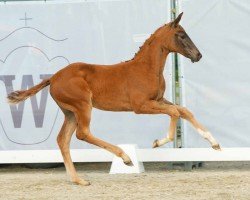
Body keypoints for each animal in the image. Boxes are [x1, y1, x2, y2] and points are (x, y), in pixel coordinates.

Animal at [7, 13, 221, 186]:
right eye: (181, 35)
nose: (198, 55)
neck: (146, 69)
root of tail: (53, 77)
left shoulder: (159, 100)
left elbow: (184, 111)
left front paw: (214, 143)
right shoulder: (141, 106)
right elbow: (175, 112)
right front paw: (158, 143)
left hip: (70, 112)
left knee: (63, 140)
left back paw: (78, 180)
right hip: (83, 106)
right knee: (82, 133)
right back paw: (125, 157)